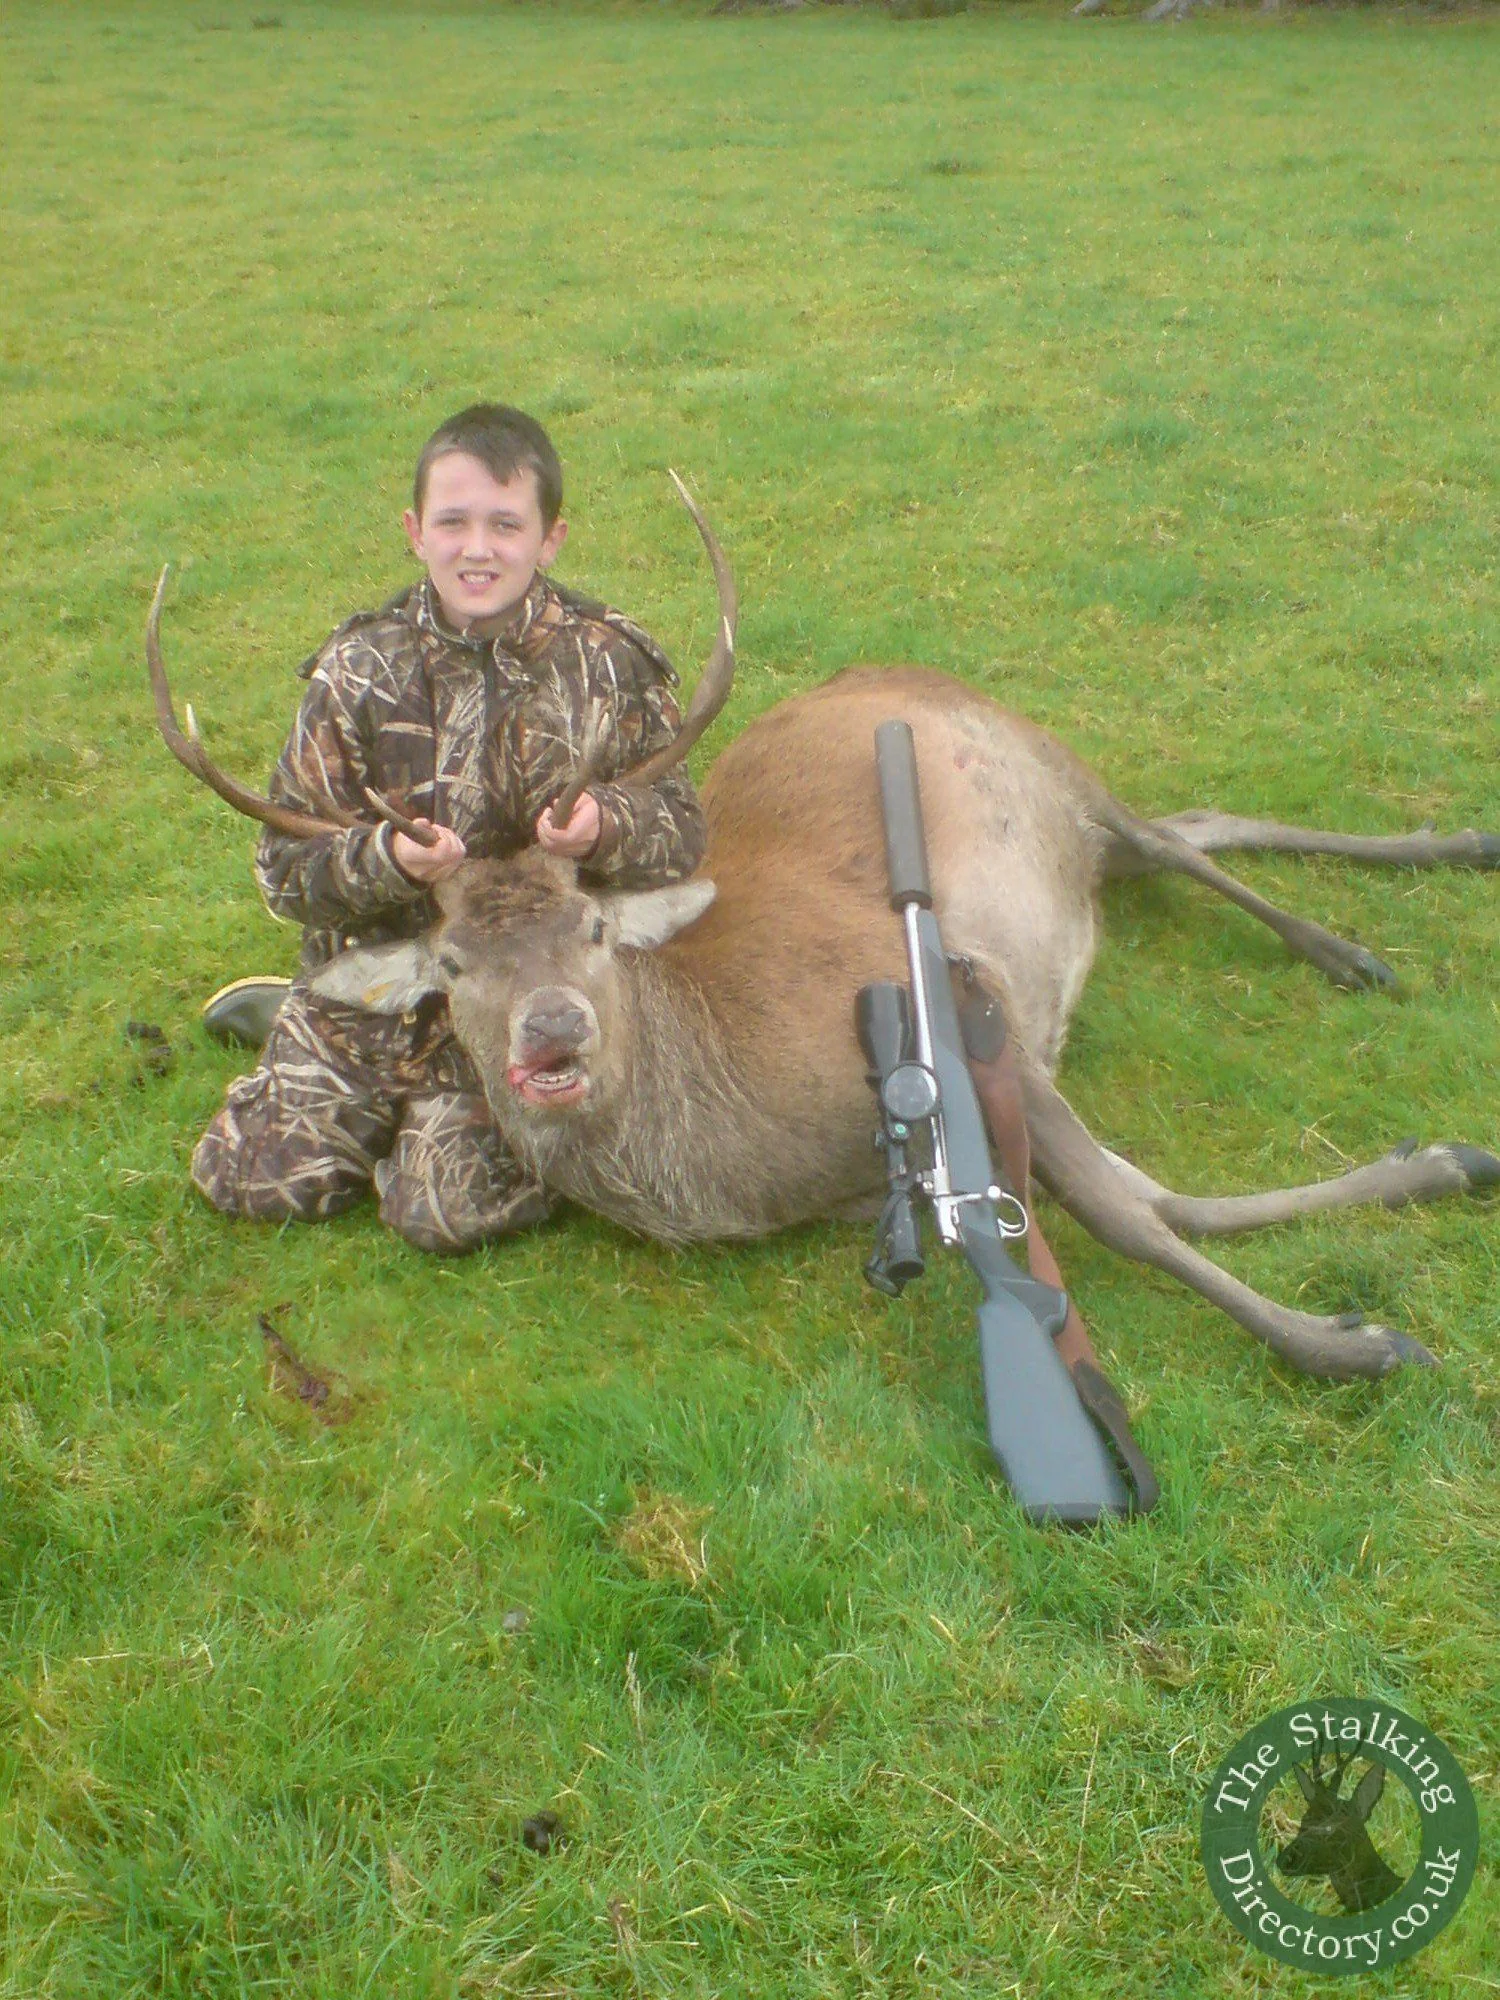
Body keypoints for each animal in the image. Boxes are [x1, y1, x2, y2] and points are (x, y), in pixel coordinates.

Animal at [146, 482, 1499, 1389]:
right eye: (454, 965)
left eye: (592, 925)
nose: (553, 1031)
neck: (737, 1151)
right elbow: (1157, 1196)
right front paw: (1434, 1166)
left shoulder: (964, 996)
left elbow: (1135, 1215)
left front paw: (1355, 1339)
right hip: (1075, 838)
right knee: (1193, 824)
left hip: (1050, 761)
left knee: (1177, 838)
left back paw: (1365, 930)